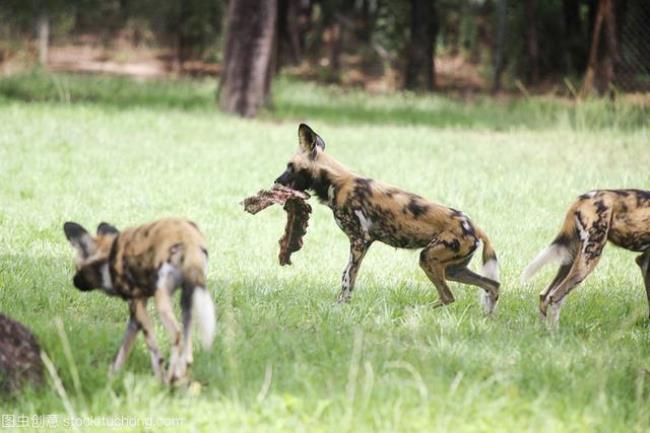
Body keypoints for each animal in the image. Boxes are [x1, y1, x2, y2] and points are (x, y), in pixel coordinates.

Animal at [63, 218, 215, 384]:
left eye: (77, 268)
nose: (74, 282)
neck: (108, 259)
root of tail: (188, 238)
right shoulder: (136, 316)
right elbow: (123, 351)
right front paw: (112, 377)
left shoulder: (137, 305)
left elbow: (154, 352)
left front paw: (159, 381)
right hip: (189, 297)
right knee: (187, 349)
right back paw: (179, 374)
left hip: (162, 301)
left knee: (176, 334)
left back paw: (172, 376)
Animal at [270, 123, 498, 312]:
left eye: (290, 166)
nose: (276, 181)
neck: (335, 183)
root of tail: (474, 226)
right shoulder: (362, 243)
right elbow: (346, 276)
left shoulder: (359, 241)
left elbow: (348, 278)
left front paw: (340, 308)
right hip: (453, 269)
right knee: (492, 286)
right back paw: (488, 319)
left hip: (429, 258)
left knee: (448, 296)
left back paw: (415, 311)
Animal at [520, 189, 650, 328]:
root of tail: (584, 197)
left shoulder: (643, 260)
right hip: (588, 260)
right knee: (554, 298)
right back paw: (555, 332)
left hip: (571, 260)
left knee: (544, 296)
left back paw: (542, 330)